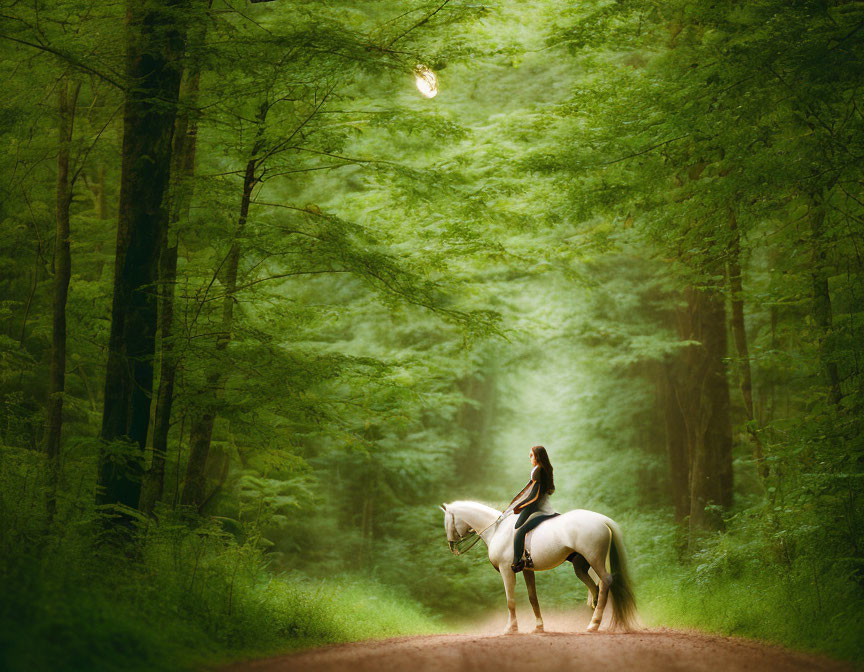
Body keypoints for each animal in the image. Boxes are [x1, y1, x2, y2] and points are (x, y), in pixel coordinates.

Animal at [446, 498, 636, 636]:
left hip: (594, 559)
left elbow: (510, 600)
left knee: (605, 582)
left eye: (447, 521)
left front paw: (511, 629)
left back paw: (594, 624)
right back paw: (593, 612)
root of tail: (602, 519)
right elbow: (533, 598)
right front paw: (539, 627)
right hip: (581, 566)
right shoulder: (527, 570)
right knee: (595, 586)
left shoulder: (507, 570)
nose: (452, 546)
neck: (497, 530)